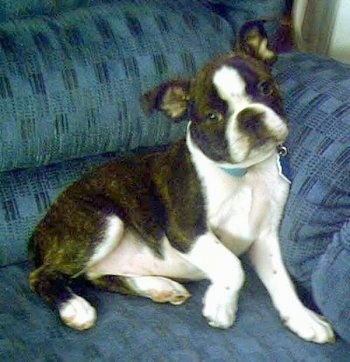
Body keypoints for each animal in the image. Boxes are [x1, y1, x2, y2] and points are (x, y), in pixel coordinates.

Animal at [28, 21, 334, 344]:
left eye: (266, 87)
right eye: (212, 116)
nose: (249, 116)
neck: (245, 174)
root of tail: (39, 229)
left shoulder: (264, 239)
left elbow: (282, 281)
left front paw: (303, 318)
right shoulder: (186, 229)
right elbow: (233, 265)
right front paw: (221, 304)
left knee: (100, 277)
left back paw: (161, 287)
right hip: (102, 221)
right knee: (42, 275)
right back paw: (75, 307)